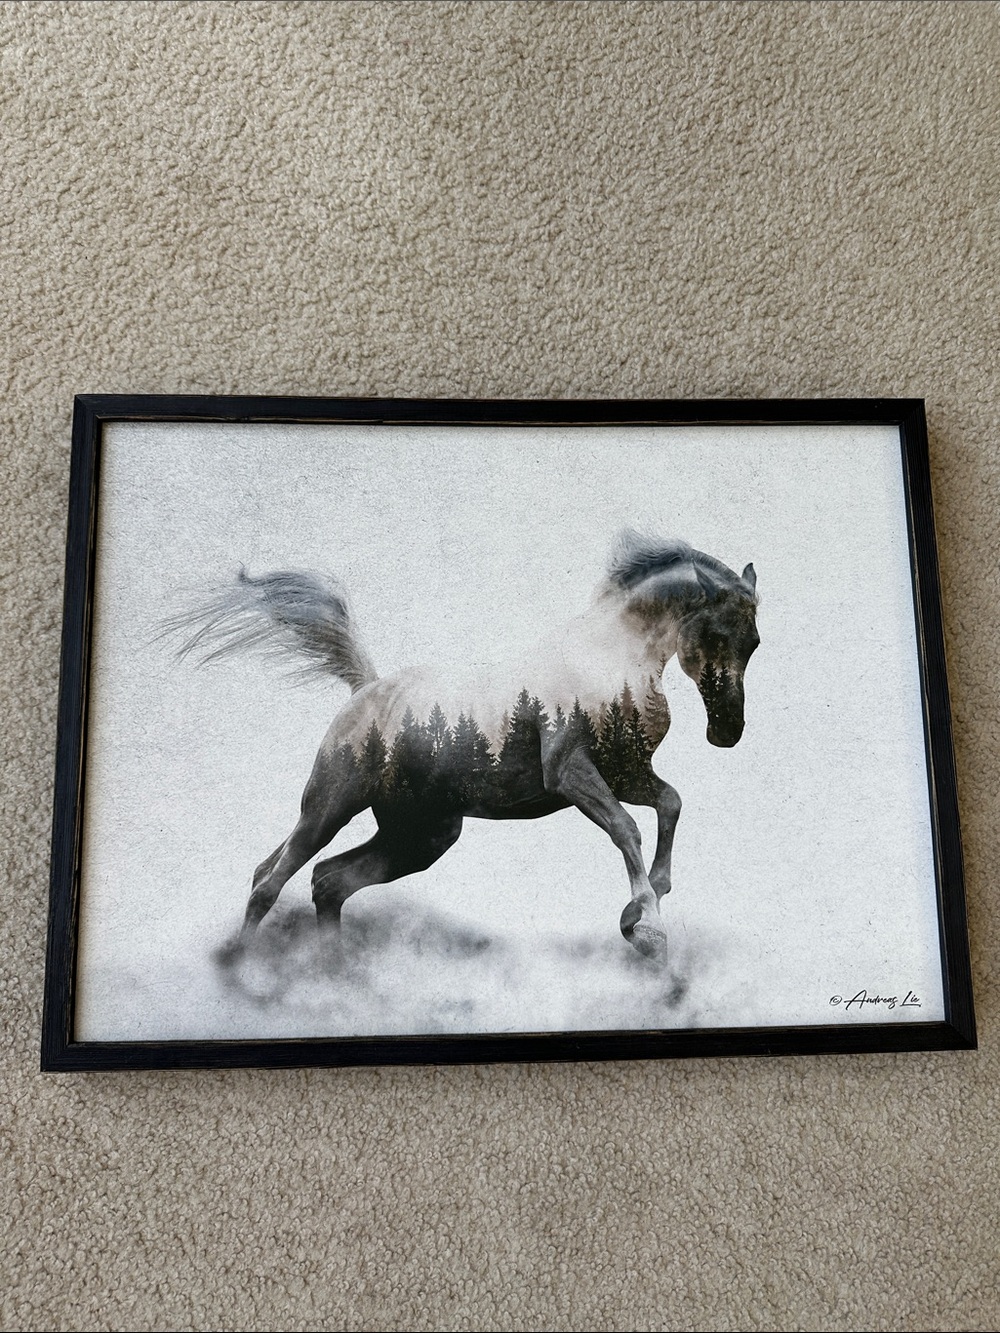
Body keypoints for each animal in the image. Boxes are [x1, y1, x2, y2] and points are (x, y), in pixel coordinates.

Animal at [166, 532, 759, 961]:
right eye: (717, 633)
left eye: (754, 641)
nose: (727, 731)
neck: (608, 661)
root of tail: (365, 690)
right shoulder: (571, 774)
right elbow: (627, 828)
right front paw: (647, 930)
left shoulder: (628, 772)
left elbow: (670, 803)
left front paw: (644, 907)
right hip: (330, 804)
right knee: (270, 881)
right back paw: (236, 973)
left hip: (421, 834)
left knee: (326, 882)